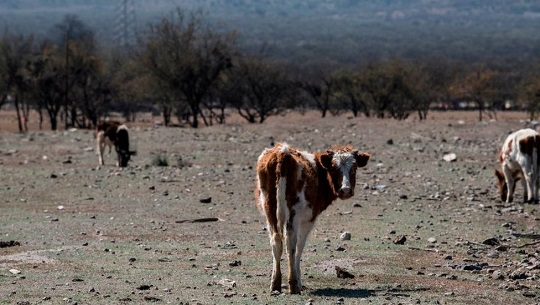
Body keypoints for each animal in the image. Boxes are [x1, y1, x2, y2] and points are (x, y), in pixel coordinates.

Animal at [255, 142, 370, 292]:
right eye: (334, 168)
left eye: (354, 167)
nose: (345, 190)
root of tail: (282, 152)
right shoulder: (308, 219)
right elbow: (299, 247)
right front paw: (298, 281)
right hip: (293, 213)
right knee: (290, 242)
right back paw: (293, 284)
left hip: (269, 209)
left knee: (276, 241)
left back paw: (275, 283)